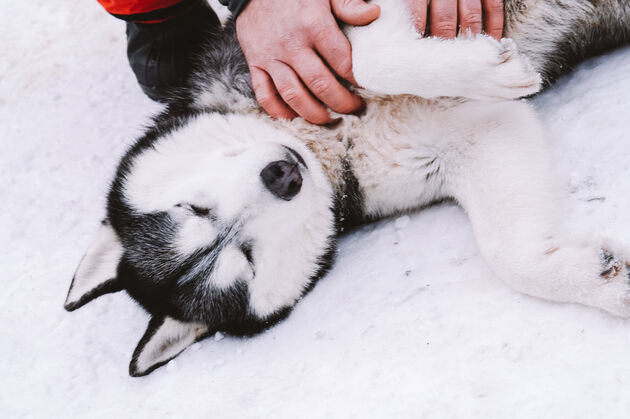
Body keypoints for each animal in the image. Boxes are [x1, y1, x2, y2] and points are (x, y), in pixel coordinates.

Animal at [64, 0, 630, 378]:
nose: (283, 174)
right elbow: (508, 255)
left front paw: (485, 68)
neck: (328, 144)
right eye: (247, 259)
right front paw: (594, 280)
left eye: (194, 208)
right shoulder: (475, 135)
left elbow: (368, 60)